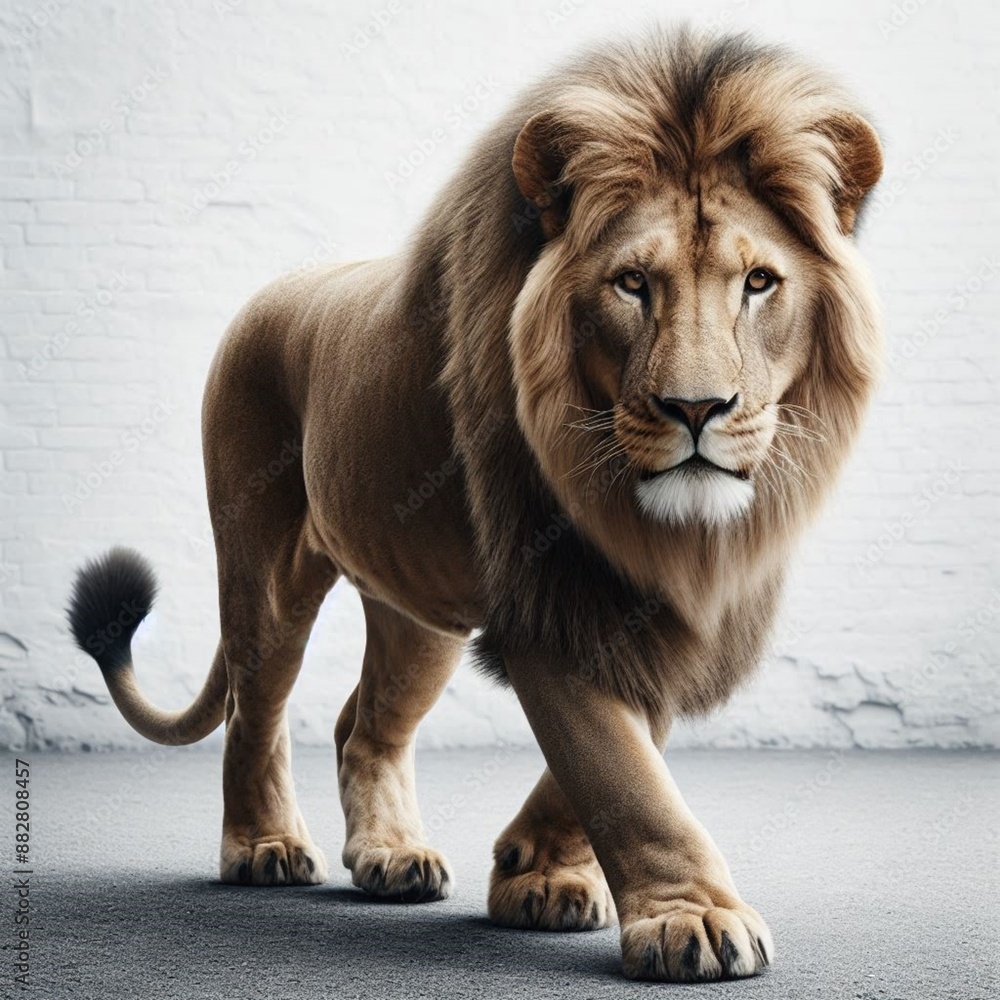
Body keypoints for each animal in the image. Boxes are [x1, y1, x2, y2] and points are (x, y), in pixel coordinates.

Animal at [67, 28, 882, 982]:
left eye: (758, 282)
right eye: (632, 284)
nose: (696, 409)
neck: (650, 522)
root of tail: (271, 293)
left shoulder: (664, 610)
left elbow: (617, 747)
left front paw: (538, 872)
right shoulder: (551, 596)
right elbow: (622, 771)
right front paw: (695, 917)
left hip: (417, 611)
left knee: (363, 725)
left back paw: (390, 857)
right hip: (265, 574)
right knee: (254, 712)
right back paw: (262, 848)